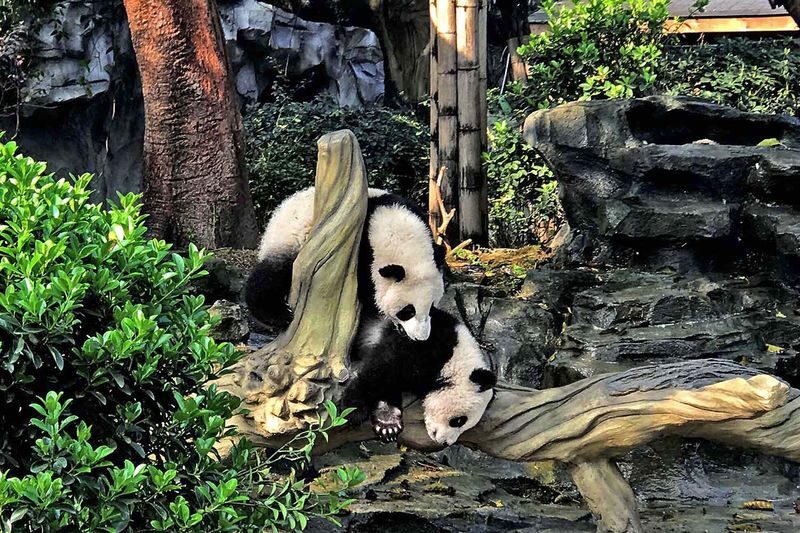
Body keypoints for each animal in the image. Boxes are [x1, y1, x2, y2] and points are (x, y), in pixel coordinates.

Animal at [245, 186, 446, 341]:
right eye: (407, 311)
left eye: (431, 307)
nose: (421, 338)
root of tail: (287, 203)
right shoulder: (361, 252)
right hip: (292, 238)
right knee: (272, 274)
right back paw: (278, 315)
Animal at [341, 307, 496, 446]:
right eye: (459, 421)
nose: (446, 443)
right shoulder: (423, 345)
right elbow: (382, 368)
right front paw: (353, 411)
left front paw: (387, 421)